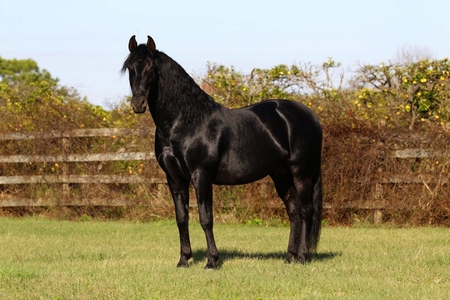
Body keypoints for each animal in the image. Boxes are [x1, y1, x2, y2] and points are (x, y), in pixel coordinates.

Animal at [121, 35, 322, 270]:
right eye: (130, 68)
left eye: (151, 68)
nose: (138, 104)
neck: (186, 122)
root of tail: (309, 114)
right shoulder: (174, 178)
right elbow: (181, 218)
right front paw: (183, 260)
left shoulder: (201, 175)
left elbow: (205, 218)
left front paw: (212, 261)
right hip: (281, 175)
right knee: (293, 211)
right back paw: (289, 257)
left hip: (302, 173)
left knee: (306, 211)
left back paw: (302, 257)